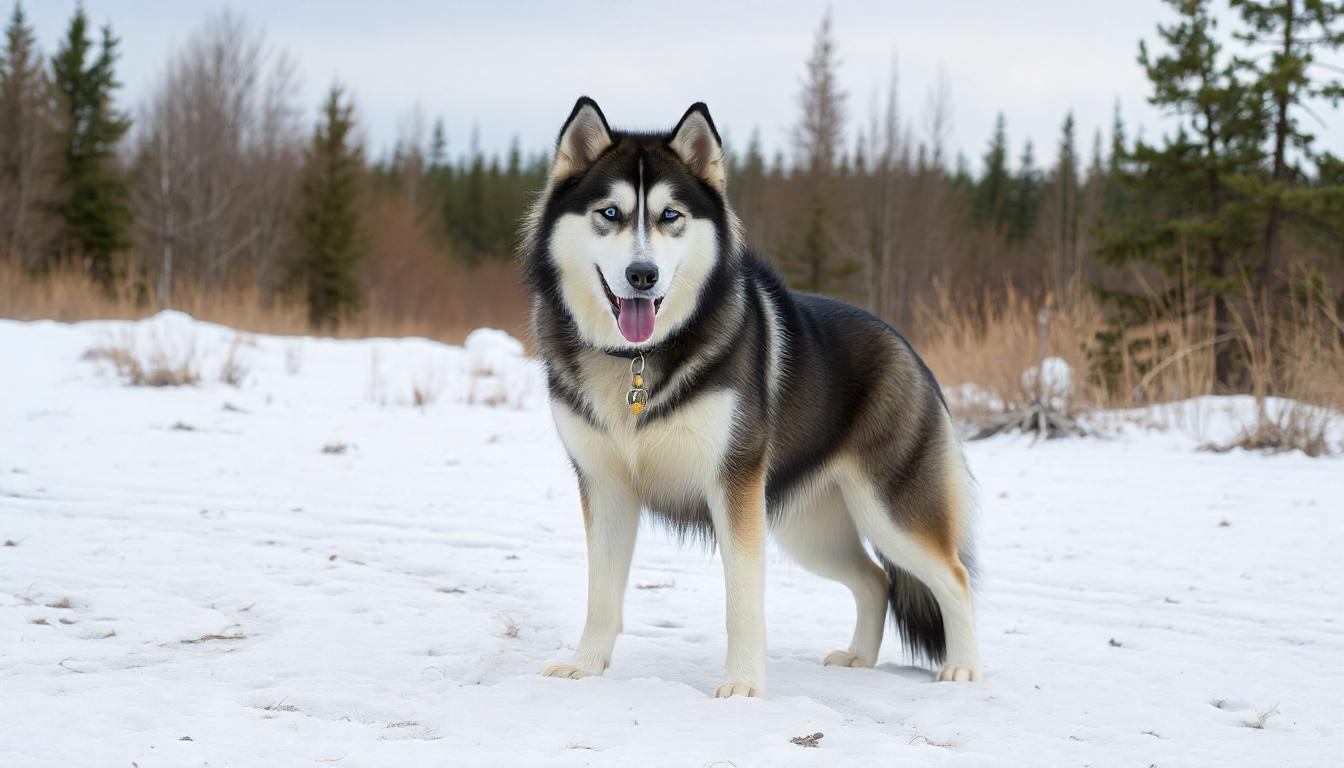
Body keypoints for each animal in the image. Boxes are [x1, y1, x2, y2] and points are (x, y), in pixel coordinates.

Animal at [521, 96, 978, 699]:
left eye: (671, 216)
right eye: (610, 213)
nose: (642, 275)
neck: (636, 361)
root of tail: (905, 345)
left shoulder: (732, 487)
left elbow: (741, 601)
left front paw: (741, 684)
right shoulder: (605, 485)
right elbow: (601, 593)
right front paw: (586, 665)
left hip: (889, 512)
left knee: (954, 577)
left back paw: (964, 667)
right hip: (809, 529)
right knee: (876, 580)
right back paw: (859, 656)